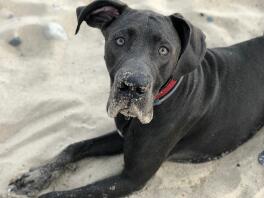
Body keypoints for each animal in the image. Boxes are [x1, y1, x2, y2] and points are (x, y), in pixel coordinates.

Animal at [7, 0, 264, 198]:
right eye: (119, 40)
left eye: (164, 50)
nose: (132, 87)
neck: (165, 95)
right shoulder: (122, 135)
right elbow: (76, 146)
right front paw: (36, 176)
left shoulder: (131, 178)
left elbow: (65, 194)